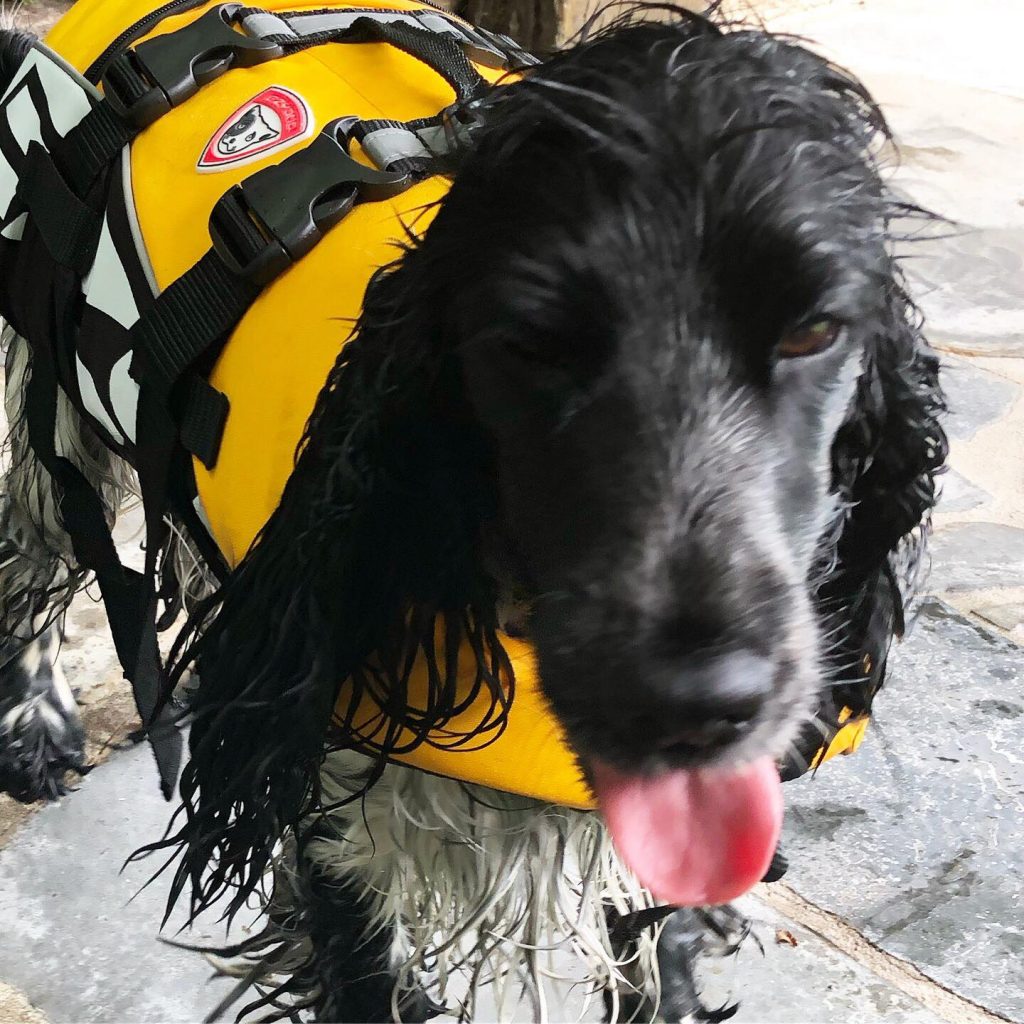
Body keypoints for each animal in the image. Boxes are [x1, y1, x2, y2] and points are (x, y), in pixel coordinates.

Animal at [0, 4, 942, 1019]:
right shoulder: (337, 827)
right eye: (528, 344)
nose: (697, 703)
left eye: (815, 331)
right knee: (37, 559)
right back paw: (36, 730)